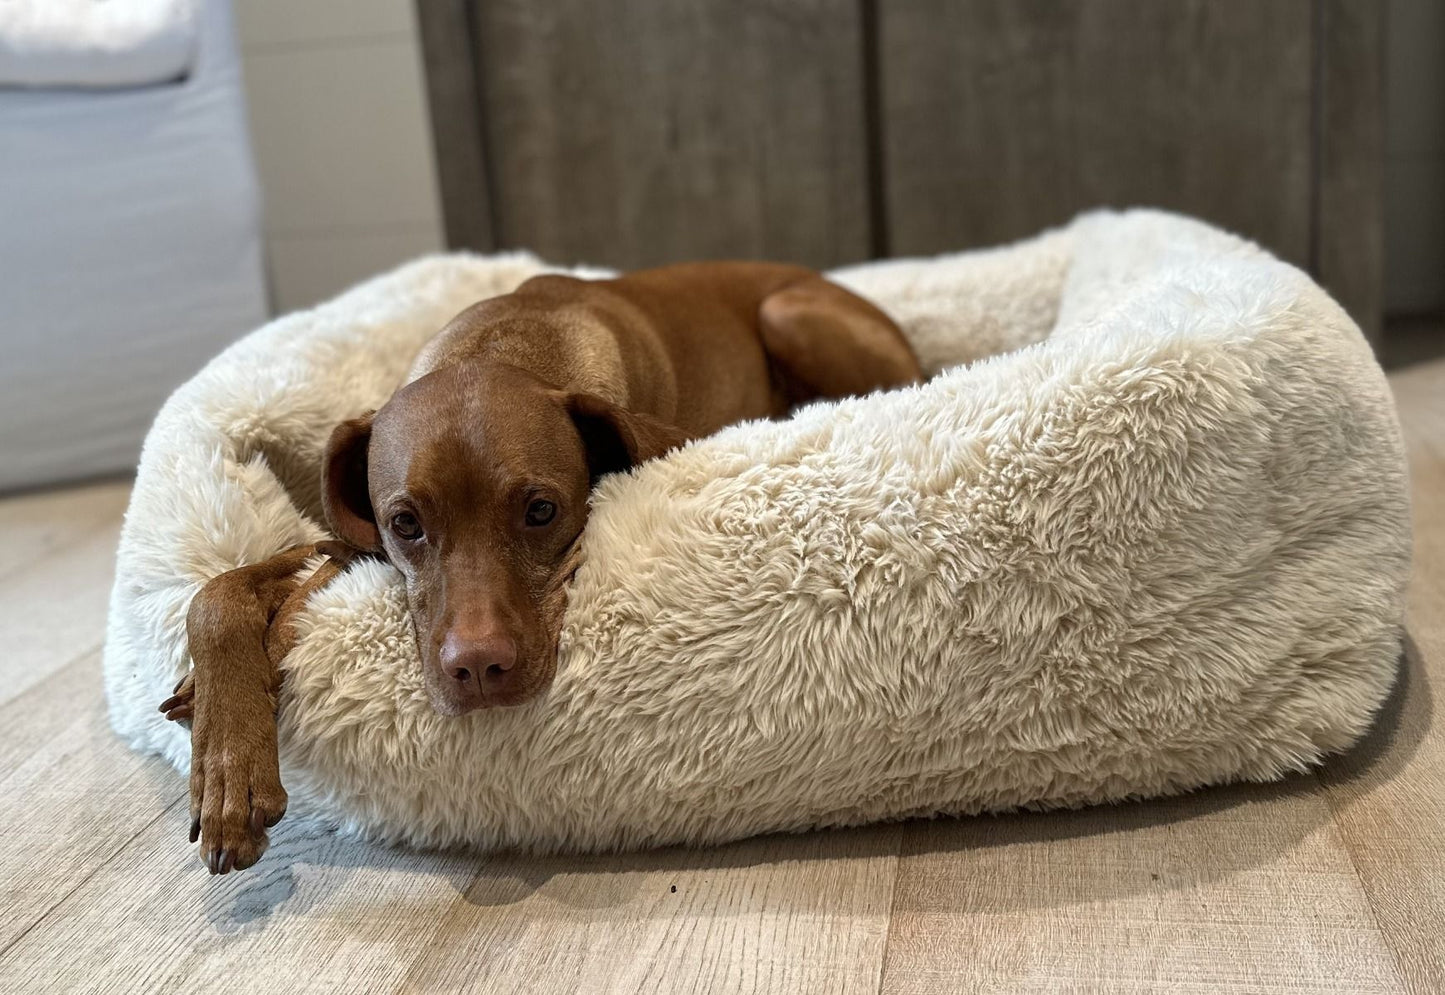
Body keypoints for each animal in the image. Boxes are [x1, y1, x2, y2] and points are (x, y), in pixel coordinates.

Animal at [161, 259, 924, 872]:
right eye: (405, 523)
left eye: (541, 510)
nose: (478, 668)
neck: (507, 342)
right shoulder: (351, 540)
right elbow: (219, 593)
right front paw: (226, 758)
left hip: (790, 312)